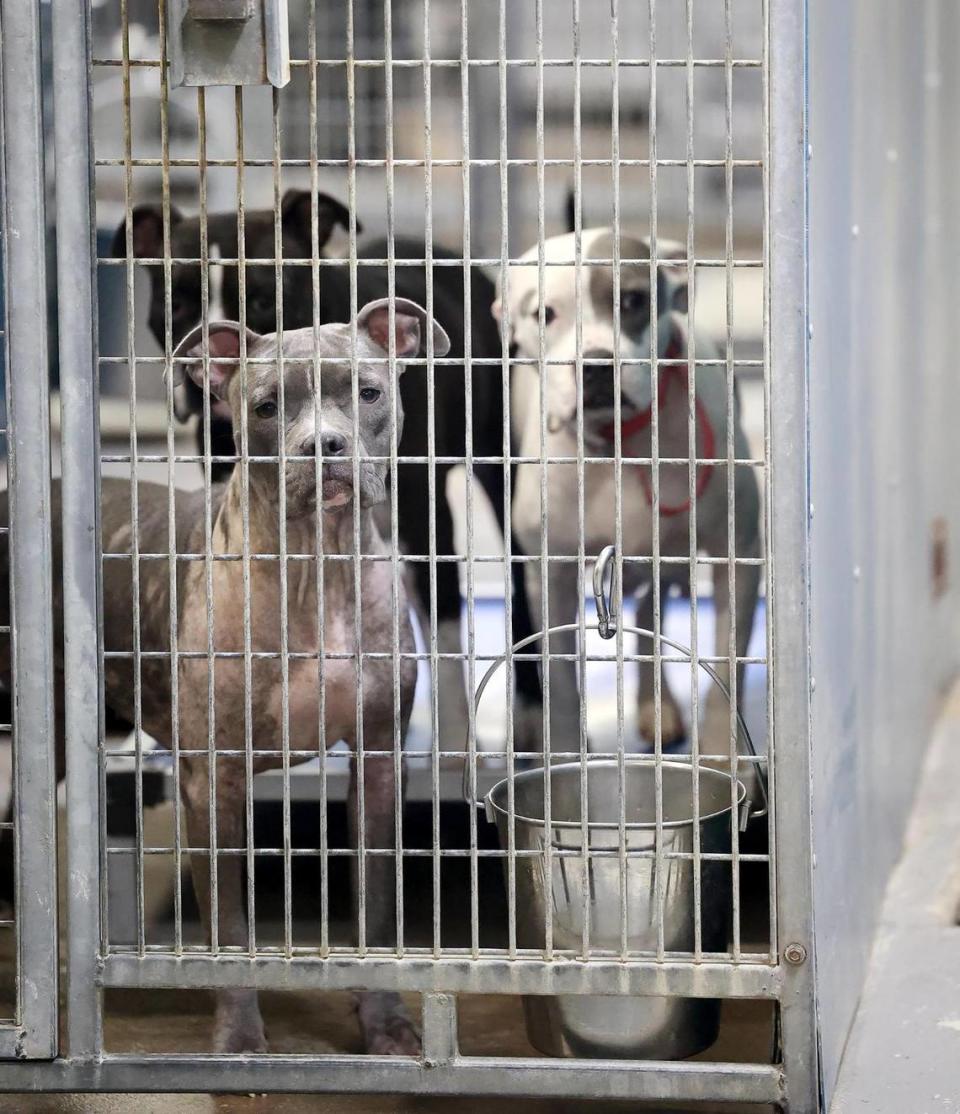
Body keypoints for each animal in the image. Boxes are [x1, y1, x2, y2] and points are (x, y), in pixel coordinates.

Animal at [0, 294, 449, 1051]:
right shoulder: (213, 780)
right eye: (266, 407)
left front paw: (386, 1023)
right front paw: (240, 1038)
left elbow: (377, 909)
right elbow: (230, 926)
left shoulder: (380, 762)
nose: (323, 447)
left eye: (366, 392)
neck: (314, 569)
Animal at [112, 191, 541, 757]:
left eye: (264, 300)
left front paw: (451, 744)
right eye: (174, 304)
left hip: (497, 464)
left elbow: (446, 635)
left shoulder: (426, 523)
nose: (205, 379)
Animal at [496, 232, 757, 757]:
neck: (619, 441)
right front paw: (565, 758)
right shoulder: (549, 574)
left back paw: (657, 709)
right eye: (544, 314)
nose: (596, 366)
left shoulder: (737, 553)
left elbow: (727, 662)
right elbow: (559, 676)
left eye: (633, 300)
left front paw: (723, 756)